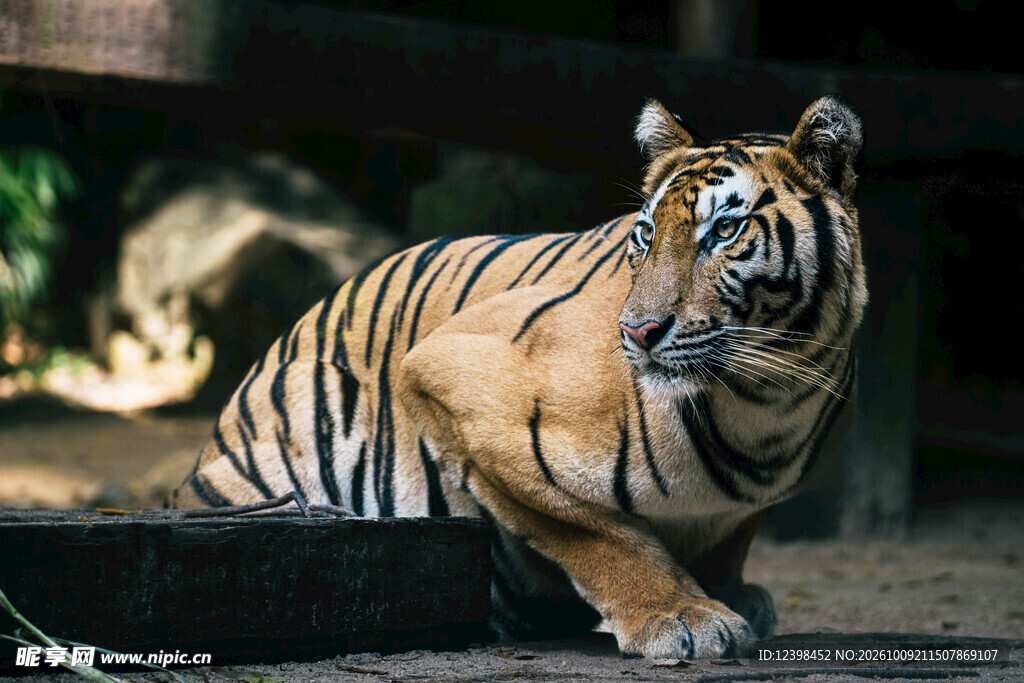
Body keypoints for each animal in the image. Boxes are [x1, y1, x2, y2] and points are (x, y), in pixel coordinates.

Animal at [170, 95, 867, 660]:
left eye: (725, 230)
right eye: (644, 235)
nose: (638, 331)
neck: (764, 402)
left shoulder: (750, 501)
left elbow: (726, 538)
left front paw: (733, 595)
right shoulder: (449, 379)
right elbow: (597, 533)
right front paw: (681, 615)